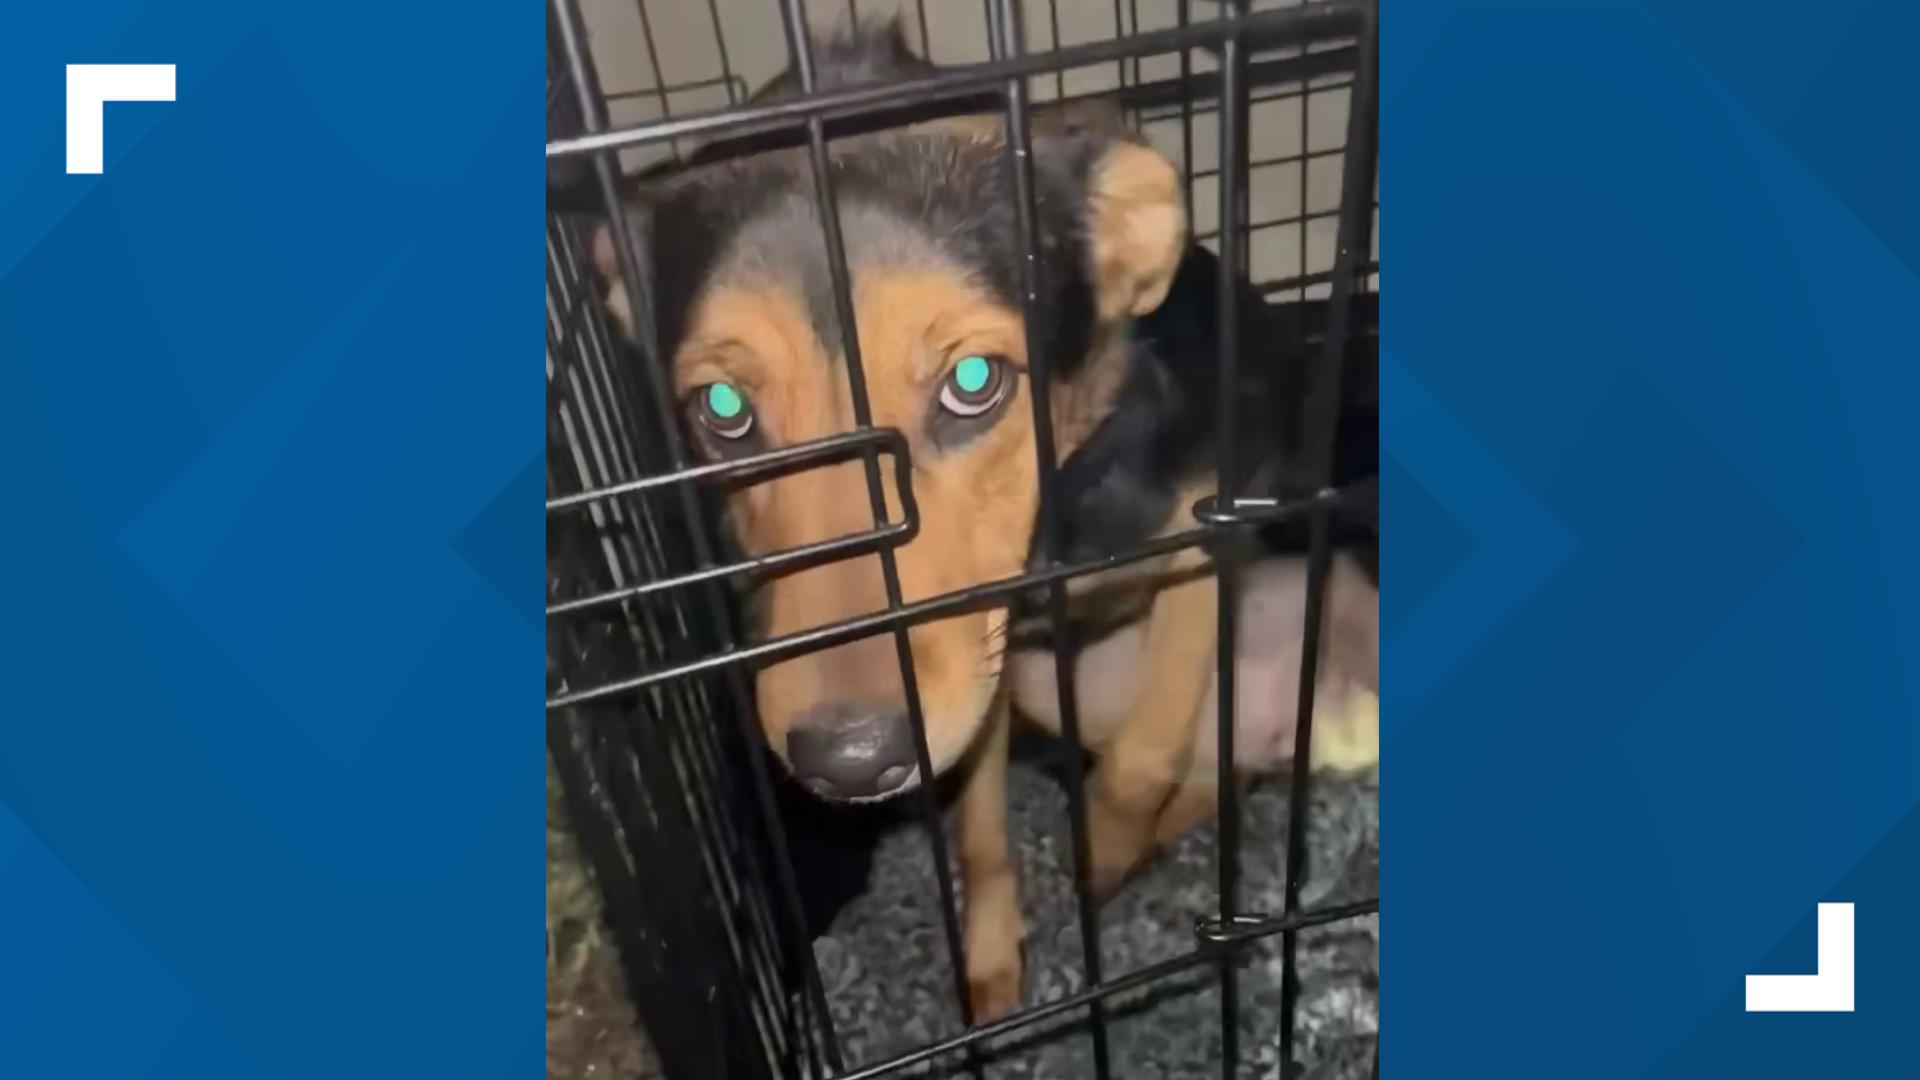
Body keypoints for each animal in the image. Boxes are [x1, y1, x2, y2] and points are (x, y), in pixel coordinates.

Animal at [560, 23, 1374, 1014]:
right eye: (721, 407)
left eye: (975, 382)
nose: (850, 758)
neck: (1058, 519)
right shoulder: (987, 675)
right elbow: (982, 831)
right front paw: (992, 959)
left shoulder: (1212, 524)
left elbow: (1140, 758)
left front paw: (1100, 855)